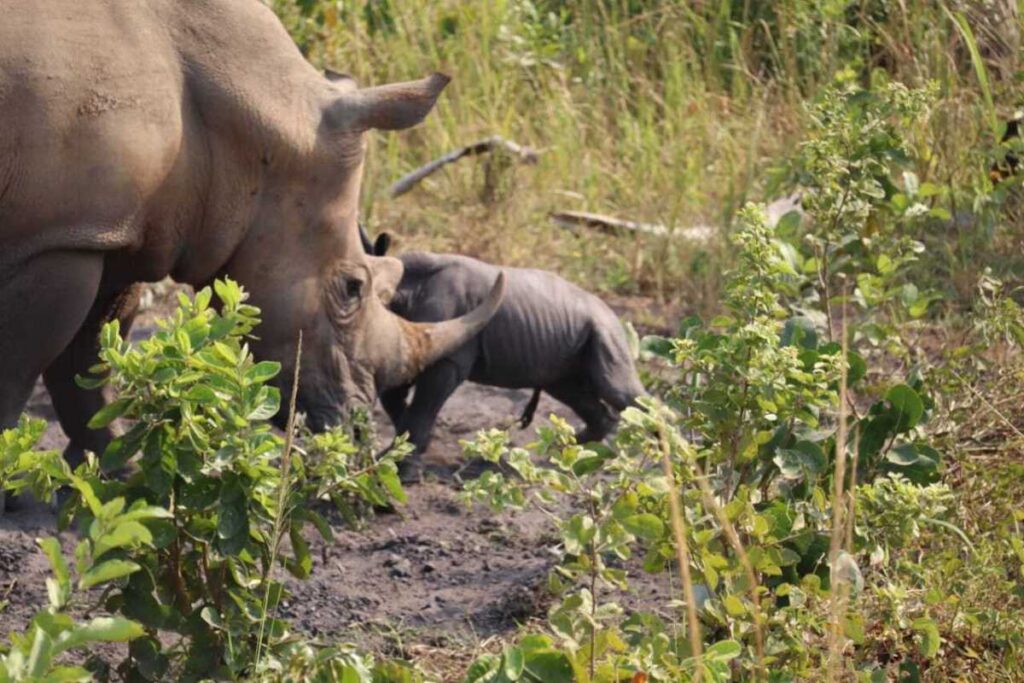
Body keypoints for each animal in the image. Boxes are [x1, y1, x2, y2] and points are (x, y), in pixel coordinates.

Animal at [0, 0, 503, 464]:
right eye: (352, 288)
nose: (357, 433)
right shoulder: (57, 239)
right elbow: (21, 370)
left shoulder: (112, 229)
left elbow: (90, 358)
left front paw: (112, 467)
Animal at [380, 248, 643, 479]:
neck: (406, 289)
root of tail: (611, 312)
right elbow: (396, 401)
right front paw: (392, 453)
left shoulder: (447, 357)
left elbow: (422, 409)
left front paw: (405, 473)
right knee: (567, 389)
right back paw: (567, 456)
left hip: (604, 328)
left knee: (616, 388)